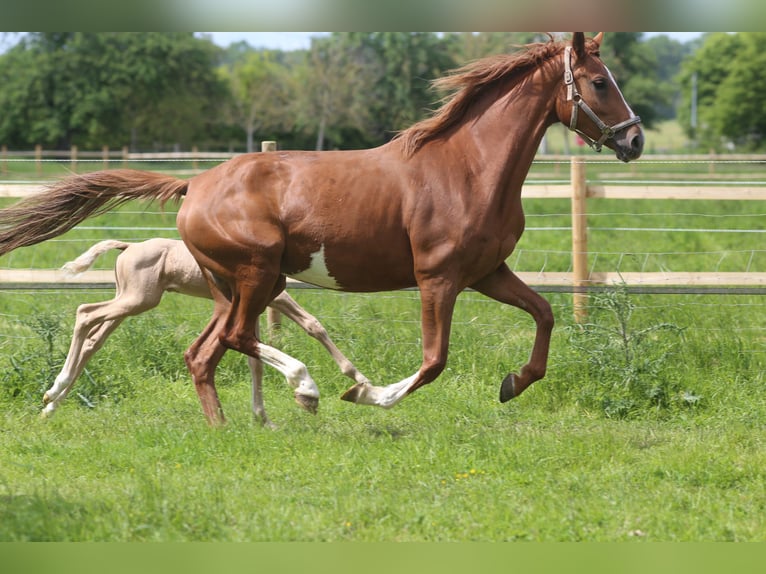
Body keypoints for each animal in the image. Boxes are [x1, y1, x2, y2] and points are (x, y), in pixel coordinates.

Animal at [43, 236, 370, 426]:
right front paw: (356, 379)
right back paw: (55, 390)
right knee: (85, 313)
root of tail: (128, 247)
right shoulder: (275, 298)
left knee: (93, 340)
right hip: (138, 300)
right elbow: (314, 325)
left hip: (129, 301)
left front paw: (264, 419)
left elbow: (255, 362)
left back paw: (51, 404)